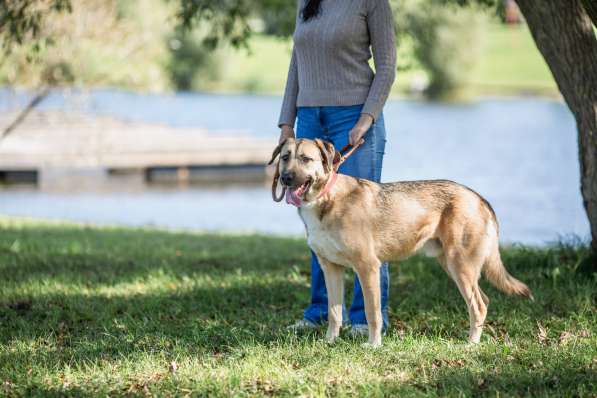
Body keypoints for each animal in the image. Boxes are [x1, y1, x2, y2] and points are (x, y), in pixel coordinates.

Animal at [270, 137, 532, 346]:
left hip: (461, 265)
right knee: (483, 300)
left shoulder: (367, 267)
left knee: (478, 304)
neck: (325, 200)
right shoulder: (330, 268)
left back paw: (471, 344)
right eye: (285, 157)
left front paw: (373, 345)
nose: (285, 178)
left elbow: (372, 312)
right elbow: (334, 313)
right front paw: (330, 342)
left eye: (306, 159)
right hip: (451, 264)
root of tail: (478, 196)